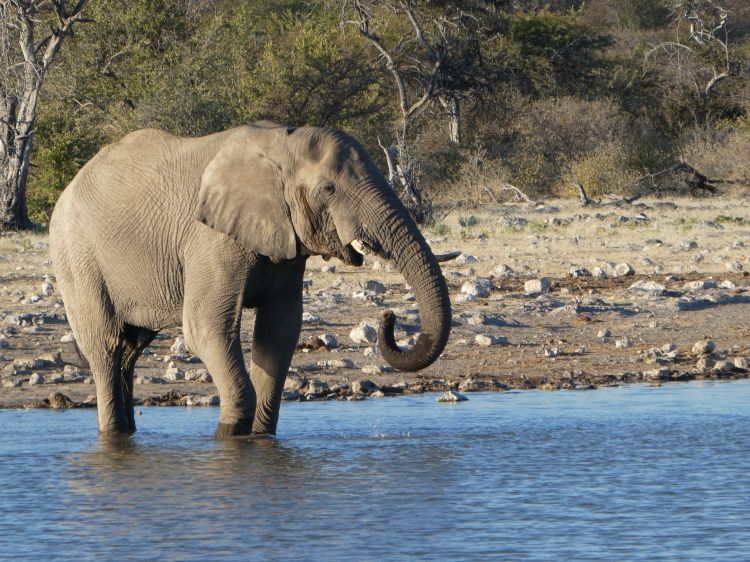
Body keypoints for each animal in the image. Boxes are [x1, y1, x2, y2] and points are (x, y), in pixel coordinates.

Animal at [53, 122, 456, 436]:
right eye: (328, 189)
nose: (388, 317)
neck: (281, 145)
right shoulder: (210, 239)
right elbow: (206, 328)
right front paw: (230, 435)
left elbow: (279, 332)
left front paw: (260, 437)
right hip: (77, 257)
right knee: (105, 345)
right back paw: (114, 431)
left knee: (131, 349)